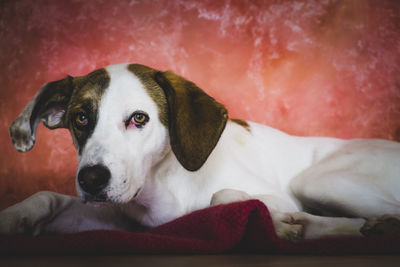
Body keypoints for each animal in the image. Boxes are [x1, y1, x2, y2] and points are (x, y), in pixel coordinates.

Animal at [0, 63, 400, 241]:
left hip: (318, 182)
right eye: (80, 118)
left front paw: (276, 221)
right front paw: (13, 218)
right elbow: (45, 197)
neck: (164, 187)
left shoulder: (279, 195)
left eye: (139, 118)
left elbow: (222, 196)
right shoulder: (119, 221)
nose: (92, 179)